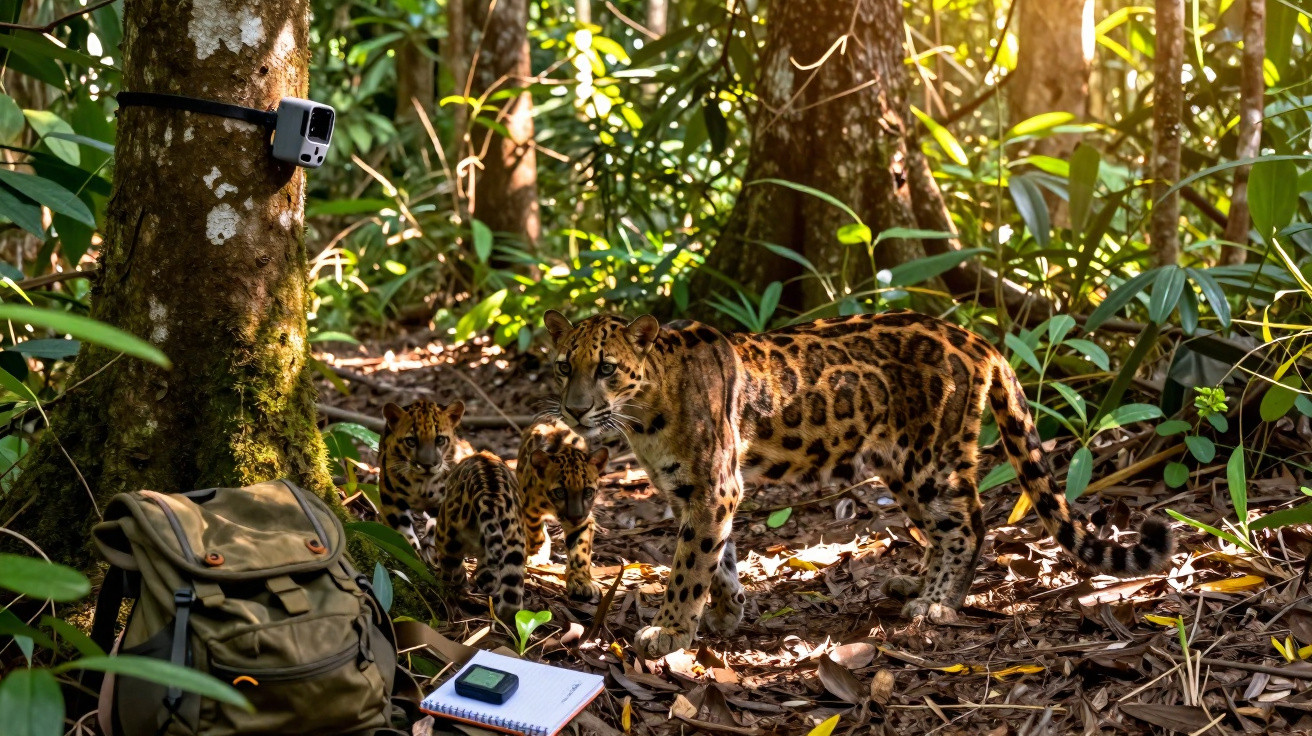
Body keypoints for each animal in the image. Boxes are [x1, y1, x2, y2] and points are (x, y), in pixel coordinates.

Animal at [378, 399, 466, 552]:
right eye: (411, 441)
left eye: (440, 440)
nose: (427, 464)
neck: (424, 485)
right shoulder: (393, 502)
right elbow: (405, 536)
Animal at [516, 417, 610, 601]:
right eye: (559, 492)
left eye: (588, 491)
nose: (575, 517)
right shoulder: (529, 508)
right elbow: (535, 531)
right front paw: (537, 551)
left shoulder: (584, 520)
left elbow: (580, 550)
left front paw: (581, 582)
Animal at [541, 308, 1174, 659]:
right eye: (562, 366)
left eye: (606, 368)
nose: (573, 410)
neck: (645, 411)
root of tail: (977, 339)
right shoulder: (690, 492)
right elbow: (719, 559)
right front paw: (726, 613)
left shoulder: (713, 488)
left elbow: (691, 564)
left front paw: (671, 631)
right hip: (903, 466)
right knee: (945, 527)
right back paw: (914, 585)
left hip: (928, 459)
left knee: (971, 522)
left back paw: (935, 603)